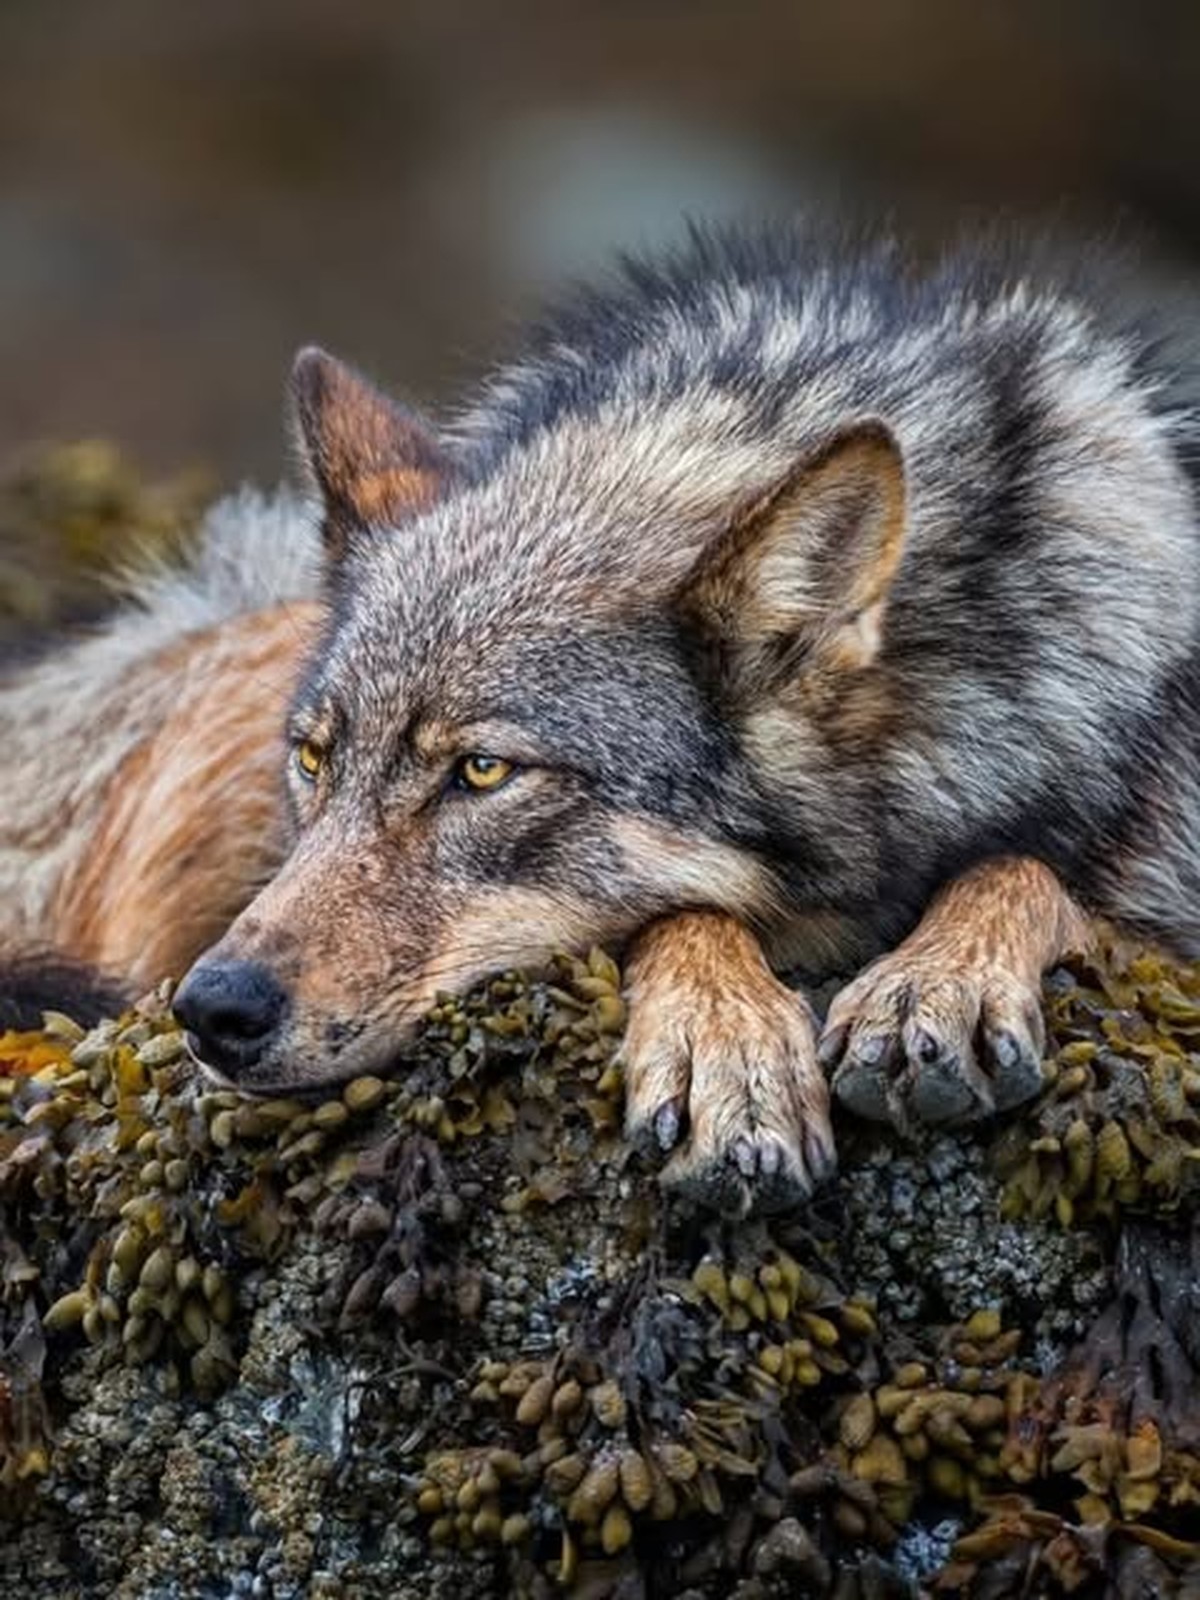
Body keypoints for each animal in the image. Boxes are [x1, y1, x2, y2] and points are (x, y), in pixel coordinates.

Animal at [5, 225, 1199, 1215]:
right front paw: (728, 1051)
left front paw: (935, 978)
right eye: (313, 759)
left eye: (482, 772)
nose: (214, 1009)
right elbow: (684, 912)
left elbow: (1024, 869)